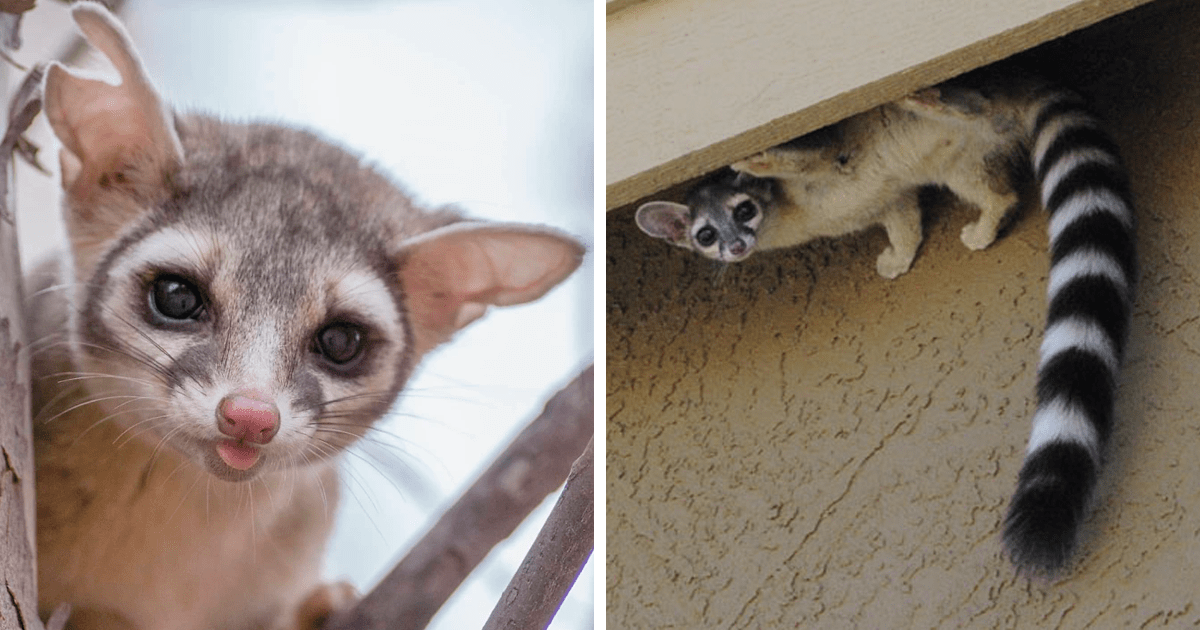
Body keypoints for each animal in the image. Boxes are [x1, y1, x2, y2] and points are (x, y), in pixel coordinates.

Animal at [638, 69, 1132, 573]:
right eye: (705, 235)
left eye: (743, 210)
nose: (737, 247)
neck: (782, 217)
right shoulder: (882, 199)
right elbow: (901, 215)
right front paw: (902, 252)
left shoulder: (823, 152)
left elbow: (811, 153)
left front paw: (762, 159)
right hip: (964, 163)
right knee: (994, 188)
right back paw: (991, 211)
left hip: (967, 109)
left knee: (968, 107)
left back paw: (935, 104)